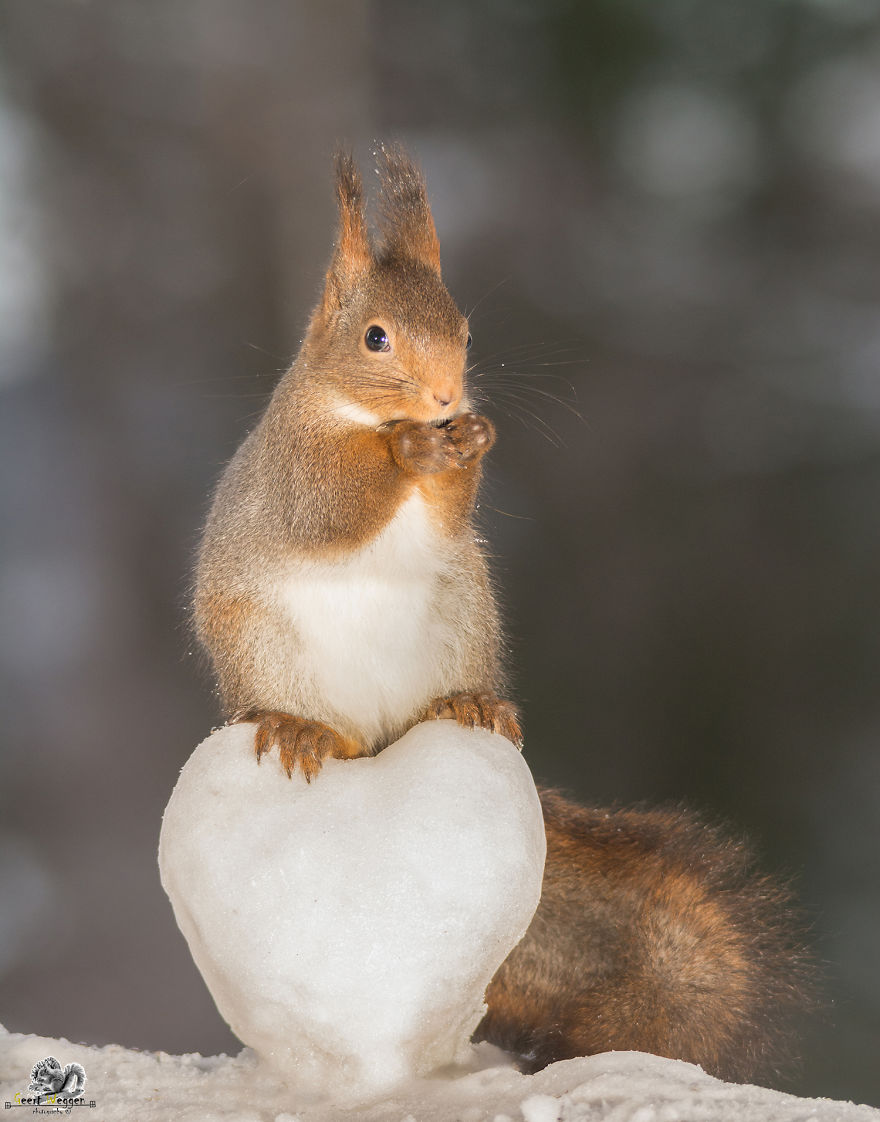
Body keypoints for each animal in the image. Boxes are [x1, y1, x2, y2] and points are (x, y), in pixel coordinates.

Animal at [193, 145, 811, 1084]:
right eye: (376, 337)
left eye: (465, 331)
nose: (447, 400)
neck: (362, 411)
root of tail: (375, 739)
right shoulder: (295, 468)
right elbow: (336, 503)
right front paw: (413, 451)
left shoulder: (448, 520)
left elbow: (452, 508)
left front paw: (471, 443)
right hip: (262, 648)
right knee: (300, 714)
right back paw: (302, 728)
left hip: (462, 616)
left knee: (442, 699)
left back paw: (469, 704)